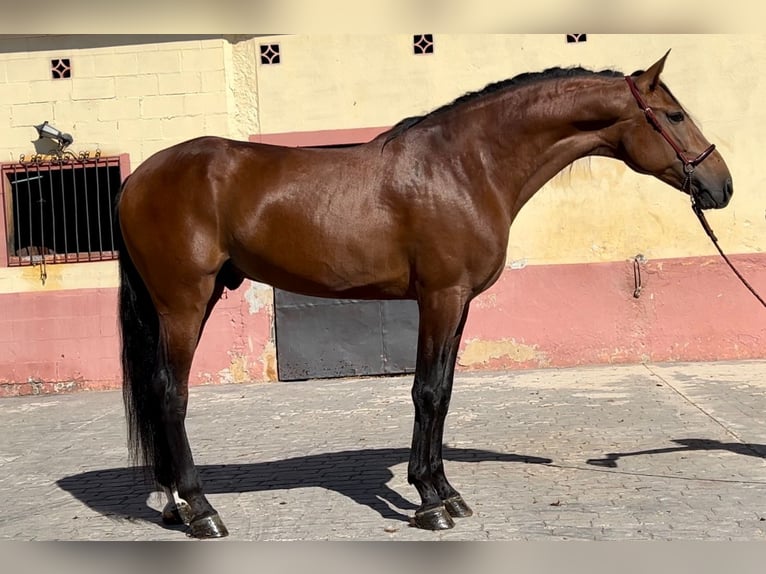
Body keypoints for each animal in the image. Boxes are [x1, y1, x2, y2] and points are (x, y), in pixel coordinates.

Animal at [114, 53, 732, 540]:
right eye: (675, 115)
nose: (722, 186)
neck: (465, 166)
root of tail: (137, 178)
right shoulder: (441, 296)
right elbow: (428, 392)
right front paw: (430, 502)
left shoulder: (459, 304)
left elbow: (445, 392)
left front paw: (445, 490)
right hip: (183, 303)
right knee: (170, 393)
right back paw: (201, 510)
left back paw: (173, 506)